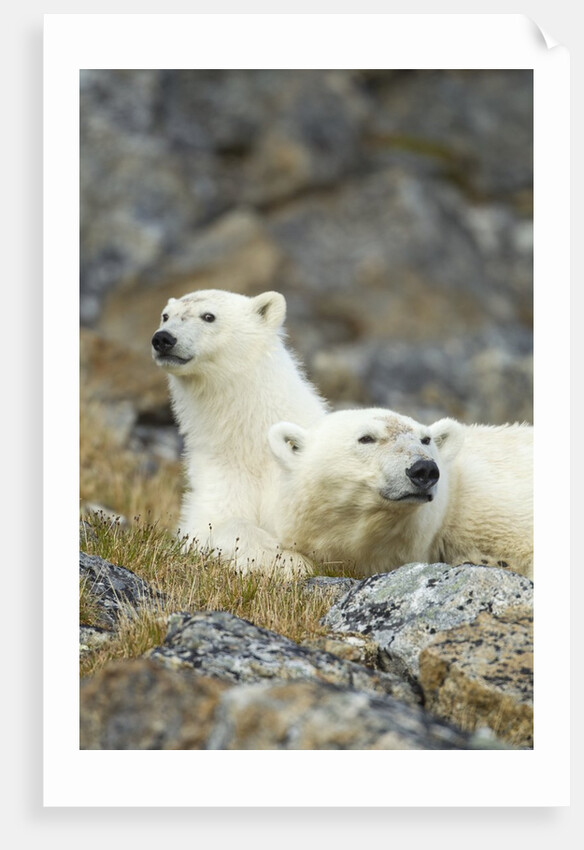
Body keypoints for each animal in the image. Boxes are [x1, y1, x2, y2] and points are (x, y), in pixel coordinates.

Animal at [151, 288, 327, 575]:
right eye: (165, 315)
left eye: (208, 316)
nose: (163, 338)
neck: (253, 439)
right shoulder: (220, 472)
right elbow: (215, 523)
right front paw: (281, 559)